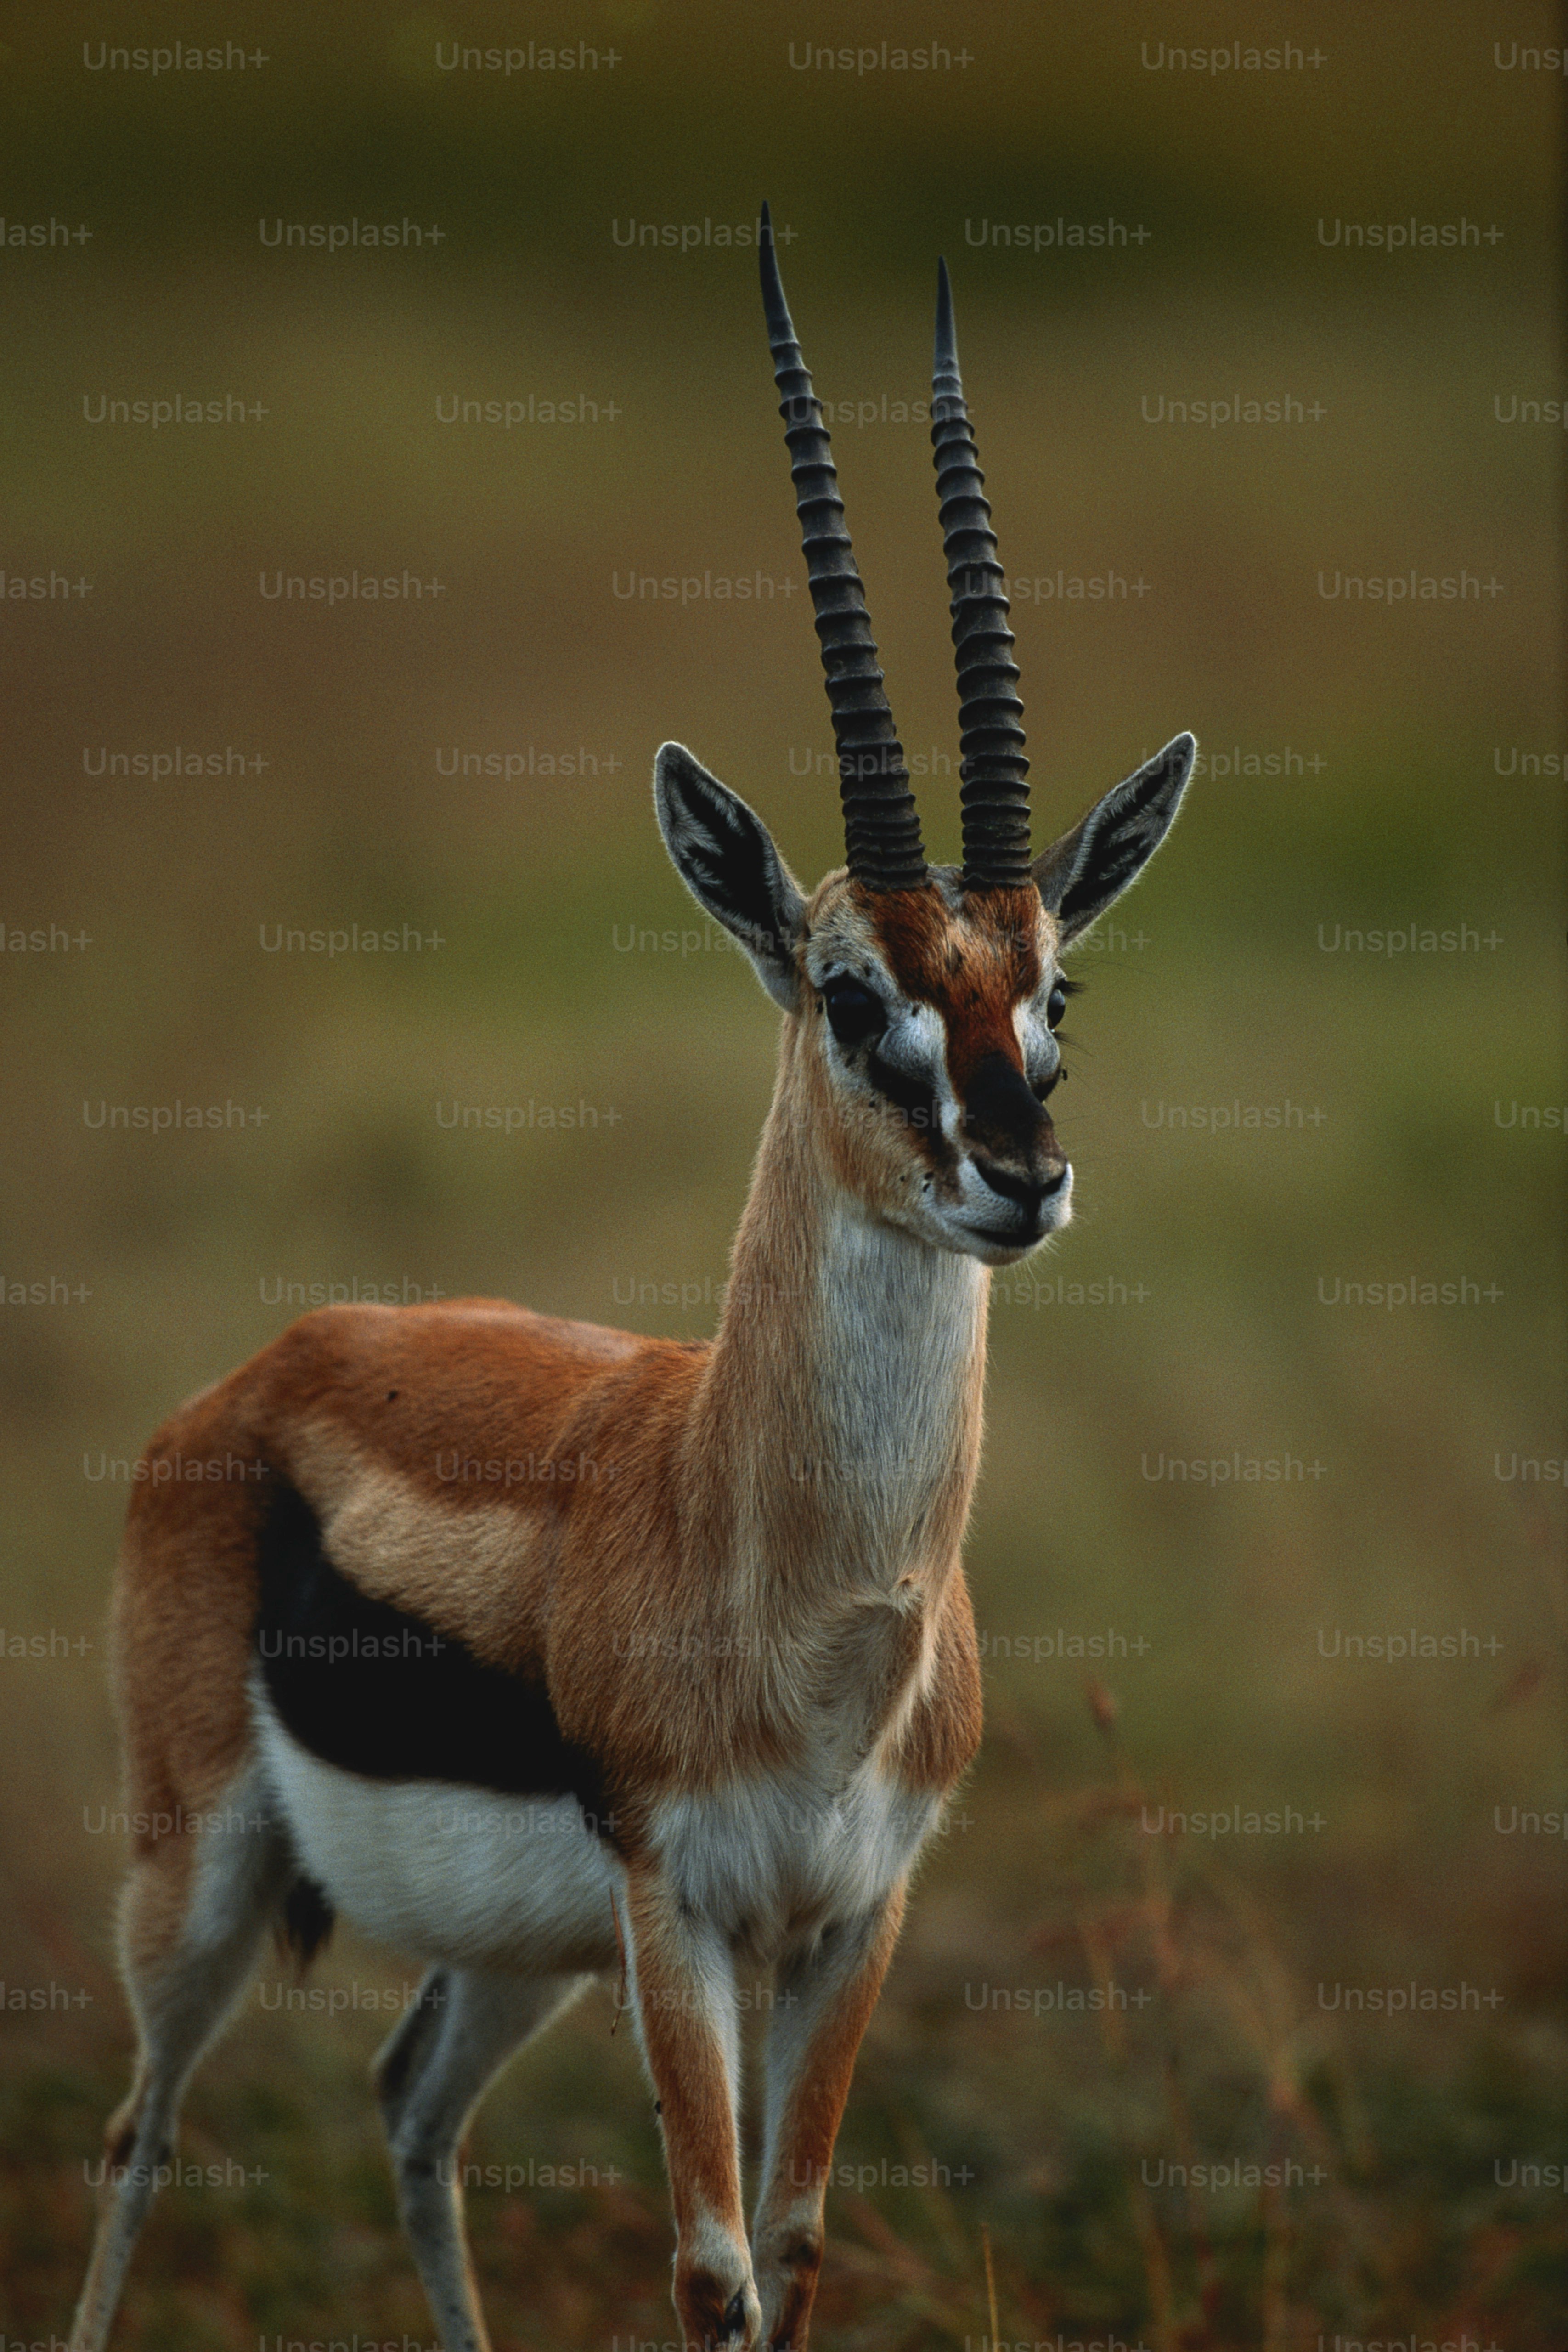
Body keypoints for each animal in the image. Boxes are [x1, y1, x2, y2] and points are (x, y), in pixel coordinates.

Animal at [70, 211, 1195, 2352]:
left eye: (1050, 989)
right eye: (849, 988)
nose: (1019, 1175)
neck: (799, 1587)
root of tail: (264, 1367)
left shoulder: (850, 1916)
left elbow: (803, 2243)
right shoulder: (680, 1904)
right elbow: (711, 2264)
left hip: (515, 1953)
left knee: (407, 2103)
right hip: (201, 1878)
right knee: (139, 2134)